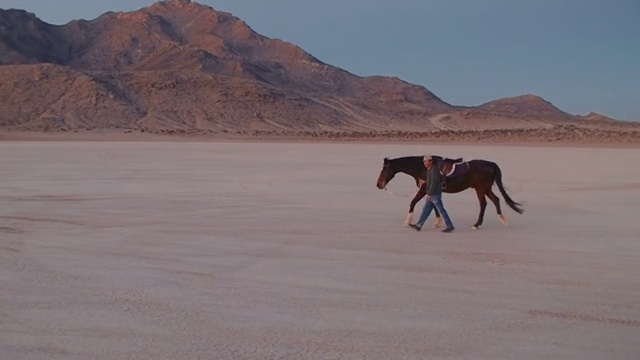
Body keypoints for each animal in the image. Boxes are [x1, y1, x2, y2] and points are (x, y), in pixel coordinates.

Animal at [378, 154, 524, 228]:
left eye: (384, 170)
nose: (378, 184)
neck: (423, 168)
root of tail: (490, 164)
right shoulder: (432, 190)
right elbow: (435, 205)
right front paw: (438, 222)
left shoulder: (424, 189)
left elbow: (413, 202)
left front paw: (407, 221)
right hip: (486, 188)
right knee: (496, 200)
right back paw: (502, 220)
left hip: (480, 188)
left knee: (483, 203)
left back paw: (477, 224)